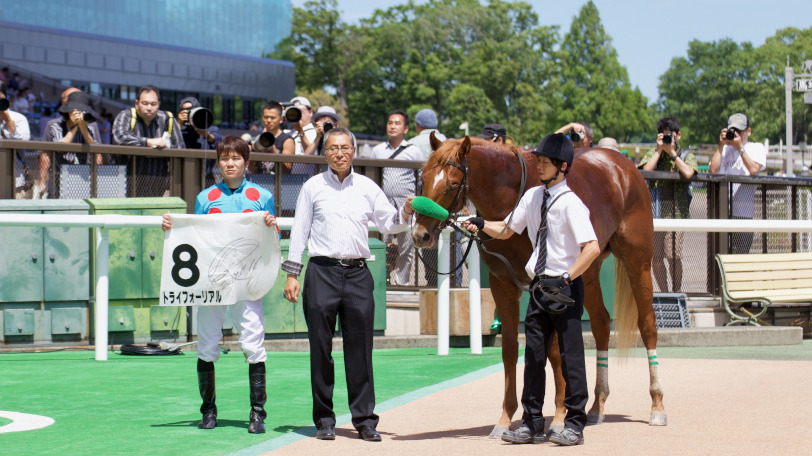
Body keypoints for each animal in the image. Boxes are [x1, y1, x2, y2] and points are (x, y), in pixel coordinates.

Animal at [412, 134, 666, 438]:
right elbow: (510, 350)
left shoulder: (547, 288)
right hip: (588, 271)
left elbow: (555, 352)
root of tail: (623, 166)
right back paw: (597, 406)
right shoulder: (502, 283)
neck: (512, 199)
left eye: (452, 184)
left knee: (647, 324)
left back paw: (657, 405)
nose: (420, 235)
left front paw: (558, 417)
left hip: (637, 260)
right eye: (423, 180)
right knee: (602, 324)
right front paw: (505, 419)